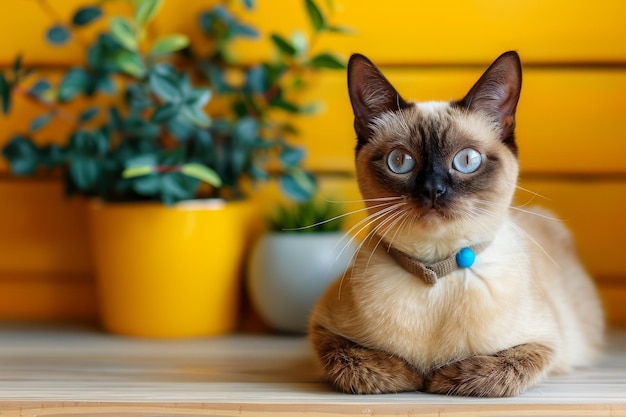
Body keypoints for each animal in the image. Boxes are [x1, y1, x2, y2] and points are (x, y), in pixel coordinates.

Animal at [310, 52, 604, 396]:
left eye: (467, 161)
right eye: (400, 161)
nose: (433, 190)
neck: (436, 271)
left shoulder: (546, 343)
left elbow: (488, 372)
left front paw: (439, 377)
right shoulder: (323, 329)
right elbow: (370, 367)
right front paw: (416, 375)